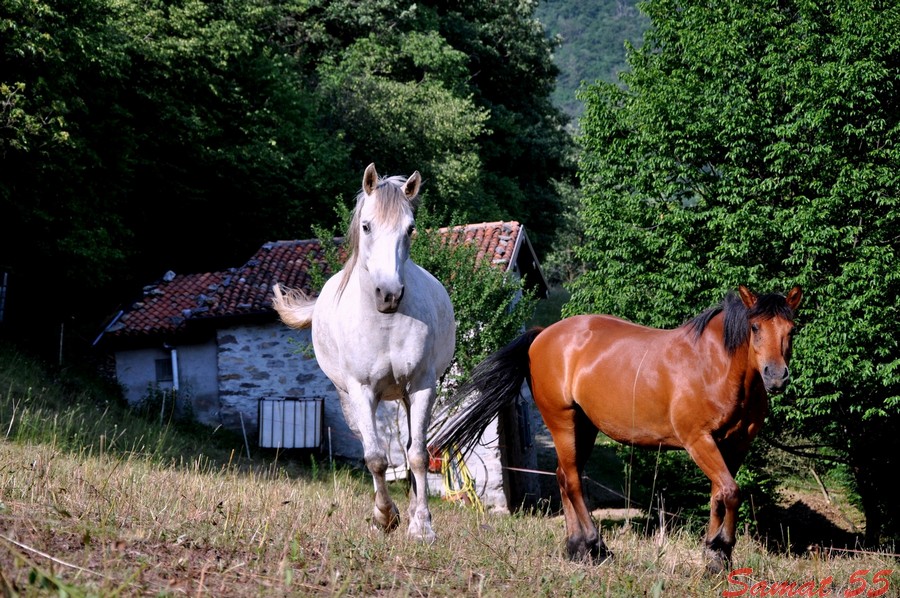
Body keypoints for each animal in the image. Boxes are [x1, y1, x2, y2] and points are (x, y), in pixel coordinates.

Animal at [272, 163, 456, 543]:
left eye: (410, 229)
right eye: (367, 226)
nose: (389, 294)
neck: (384, 323)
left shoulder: (421, 386)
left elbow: (417, 455)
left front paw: (421, 525)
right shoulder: (361, 391)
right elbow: (375, 458)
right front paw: (385, 517)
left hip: (404, 396)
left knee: (410, 446)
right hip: (348, 398)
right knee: (368, 444)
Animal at [430, 285, 802, 571]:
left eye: (791, 330)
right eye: (755, 328)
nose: (775, 376)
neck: (717, 366)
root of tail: (542, 336)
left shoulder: (734, 445)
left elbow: (721, 494)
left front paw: (717, 557)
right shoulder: (698, 441)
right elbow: (731, 492)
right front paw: (718, 550)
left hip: (585, 427)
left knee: (564, 477)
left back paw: (575, 547)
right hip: (563, 422)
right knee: (574, 482)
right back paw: (594, 546)